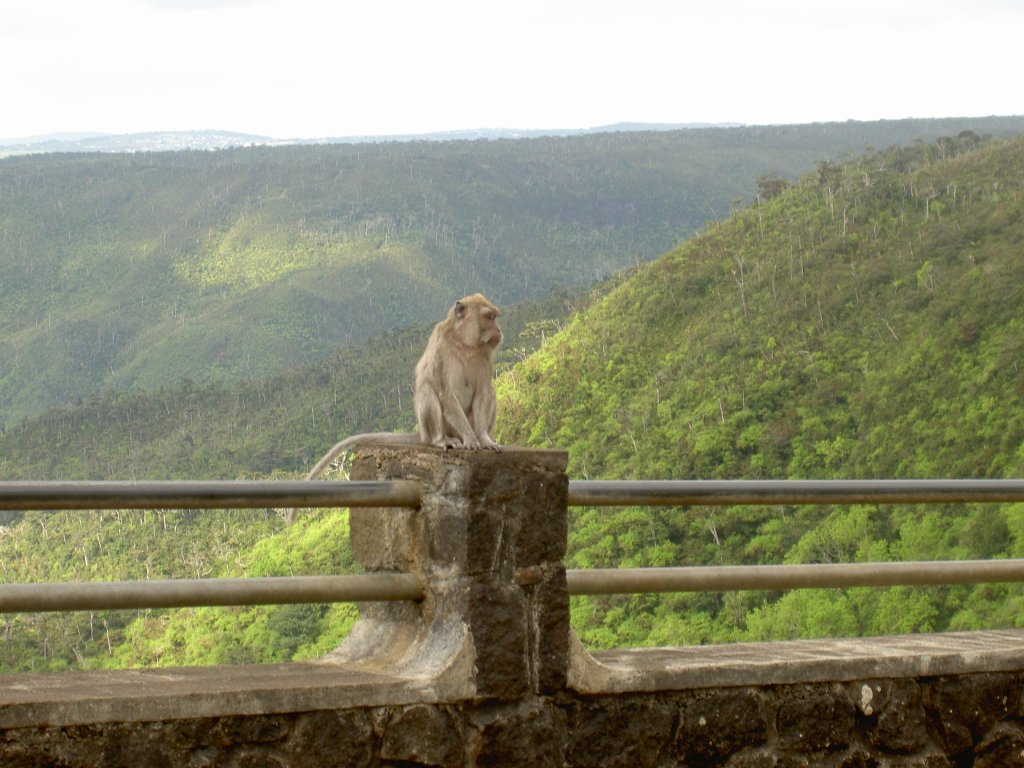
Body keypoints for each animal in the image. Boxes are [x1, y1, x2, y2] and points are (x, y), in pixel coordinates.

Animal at [286, 292, 501, 524]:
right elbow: (445, 393)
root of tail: (422, 434)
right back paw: (440, 440)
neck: (464, 343)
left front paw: (483, 438)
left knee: (490, 392)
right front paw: (471, 439)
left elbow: (484, 391)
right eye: (489, 317)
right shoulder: (441, 348)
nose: (499, 331)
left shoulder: (485, 355)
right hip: (440, 427)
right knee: (428, 391)